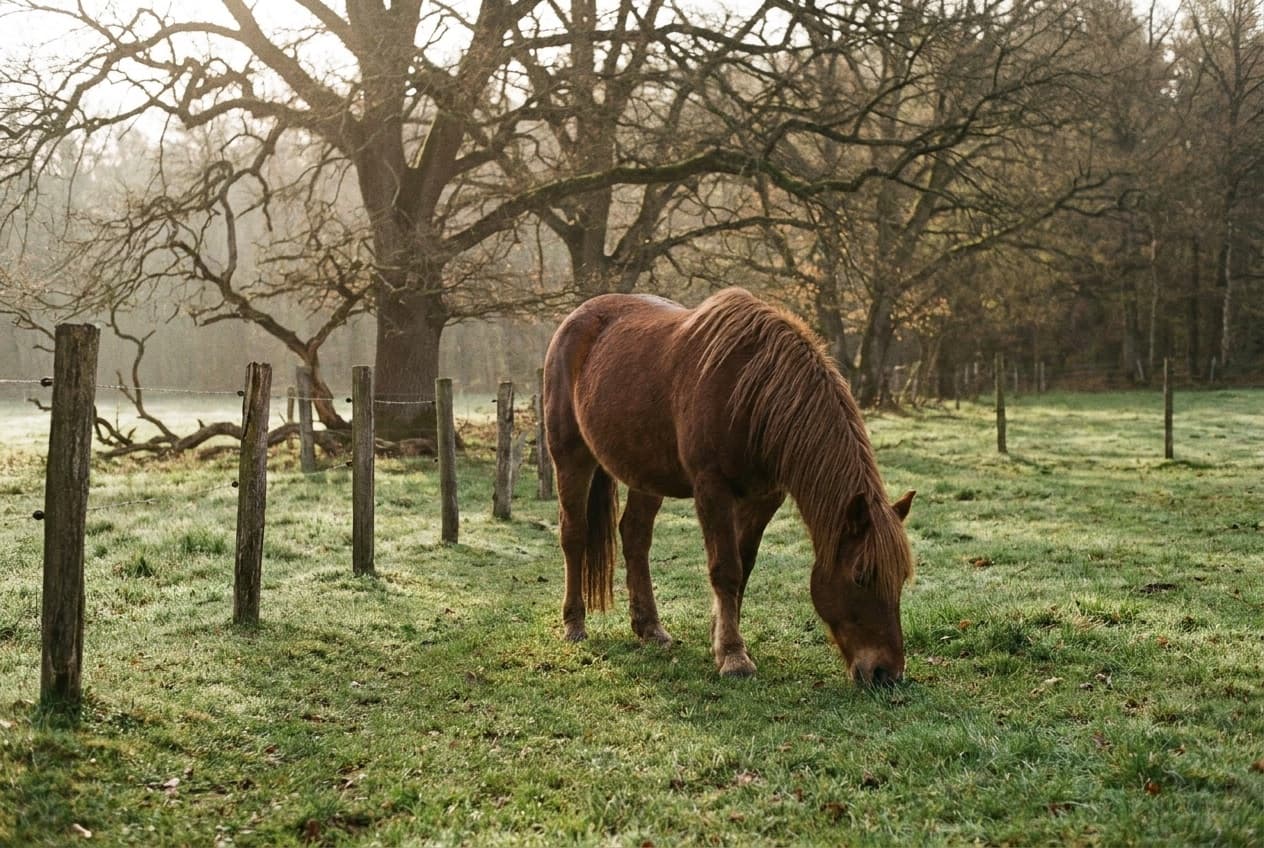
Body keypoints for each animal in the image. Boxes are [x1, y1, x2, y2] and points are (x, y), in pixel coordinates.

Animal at [542, 287, 915, 684]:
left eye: (900, 578)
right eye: (861, 576)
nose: (886, 673)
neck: (751, 394)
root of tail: (576, 318)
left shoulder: (764, 497)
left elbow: (744, 566)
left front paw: (720, 638)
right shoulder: (712, 490)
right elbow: (726, 569)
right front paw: (734, 657)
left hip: (646, 471)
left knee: (635, 537)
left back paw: (650, 629)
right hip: (570, 457)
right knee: (574, 535)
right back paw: (574, 624)